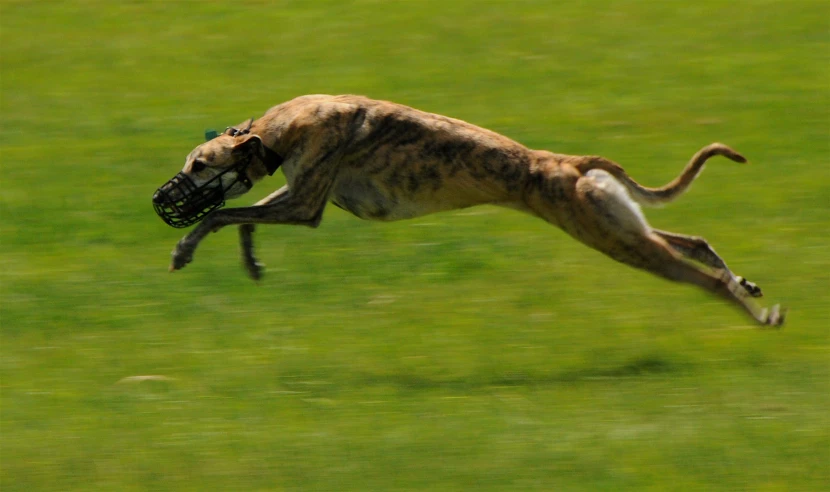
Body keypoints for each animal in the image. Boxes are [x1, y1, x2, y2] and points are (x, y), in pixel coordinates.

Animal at [154, 95, 788, 326]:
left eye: (197, 166)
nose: (160, 200)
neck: (280, 127)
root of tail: (568, 163)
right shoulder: (302, 193)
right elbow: (244, 218)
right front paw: (252, 263)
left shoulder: (307, 200)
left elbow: (222, 215)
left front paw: (183, 248)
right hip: (620, 223)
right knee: (696, 241)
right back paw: (747, 285)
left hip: (610, 237)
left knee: (702, 278)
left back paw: (758, 313)